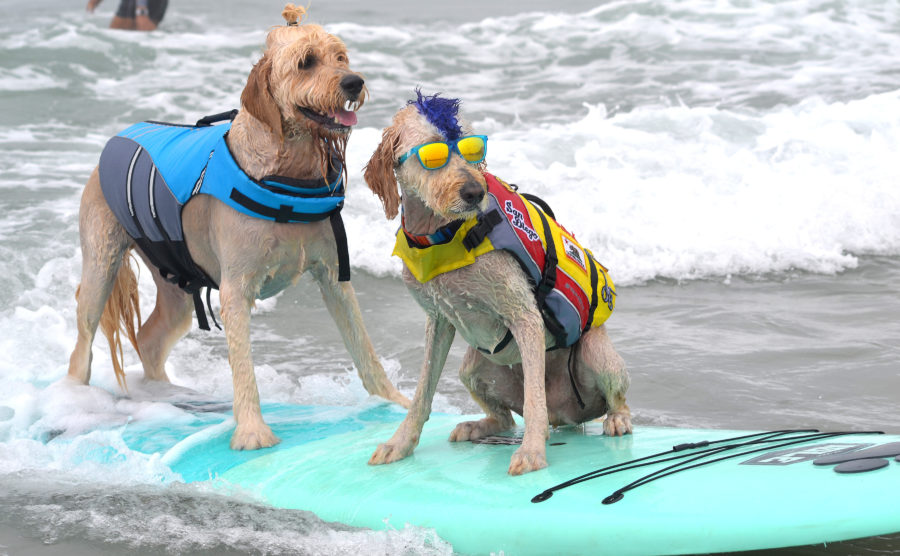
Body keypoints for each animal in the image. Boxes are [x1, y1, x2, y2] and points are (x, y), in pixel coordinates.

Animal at [66, 5, 408, 452]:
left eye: (341, 57)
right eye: (306, 62)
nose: (354, 81)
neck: (288, 170)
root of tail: (118, 138)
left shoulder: (334, 277)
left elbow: (364, 348)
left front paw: (395, 403)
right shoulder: (235, 288)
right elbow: (244, 367)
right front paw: (252, 431)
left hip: (176, 283)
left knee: (151, 339)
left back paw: (168, 396)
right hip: (101, 263)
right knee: (83, 345)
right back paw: (74, 399)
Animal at [362, 91, 628, 474]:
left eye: (472, 148)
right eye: (433, 153)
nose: (475, 191)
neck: (443, 235)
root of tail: (565, 415)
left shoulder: (525, 315)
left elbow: (534, 400)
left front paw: (532, 451)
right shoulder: (438, 321)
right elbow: (421, 394)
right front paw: (400, 443)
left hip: (596, 353)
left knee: (609, 401)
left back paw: (617, 419)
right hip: (472, 367)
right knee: (505, 419)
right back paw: (476, 425)